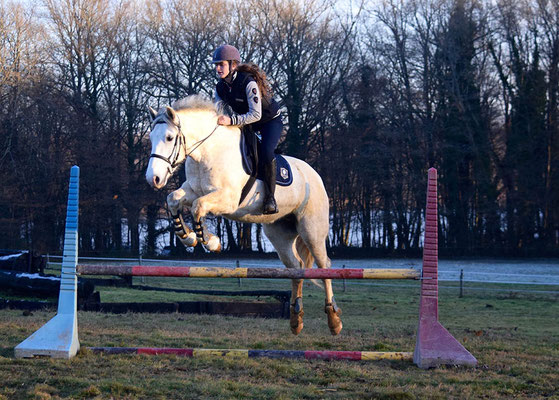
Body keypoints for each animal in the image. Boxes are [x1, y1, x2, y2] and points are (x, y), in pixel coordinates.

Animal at [145, 95, 342, 336]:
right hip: (279, 233)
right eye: (150, 138)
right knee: (296, 267)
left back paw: (333, 320)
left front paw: (210, 241)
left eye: (169, 137)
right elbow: (174, 199)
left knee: (324, 266)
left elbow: (198, 208)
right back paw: (296, 318)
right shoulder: (193, 191)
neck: (208, 152)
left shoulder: (227, 199)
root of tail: (315, 175)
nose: (153, 178)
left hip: (311, 230)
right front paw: (190, 236)